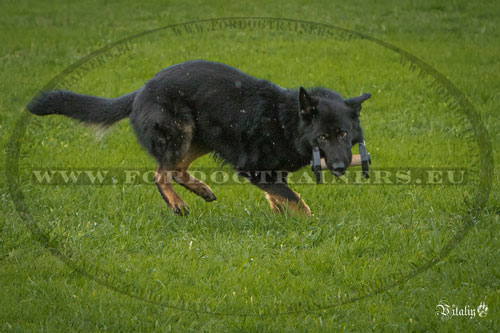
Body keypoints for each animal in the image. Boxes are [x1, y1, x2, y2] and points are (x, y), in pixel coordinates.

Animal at [28, 59, 372, 215]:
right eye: (323, 137)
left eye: (343, 133)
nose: (340, 167)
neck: (285, 120)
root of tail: (141, 91)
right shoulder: (254, 168)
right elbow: (294, 199)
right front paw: (309, 221)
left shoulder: (272, 172)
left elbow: (279, 195)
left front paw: (281, 216)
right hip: (180, 132)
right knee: (161, 174)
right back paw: (177, 203)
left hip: (202, 136)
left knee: (178, 169)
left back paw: (201, 190)